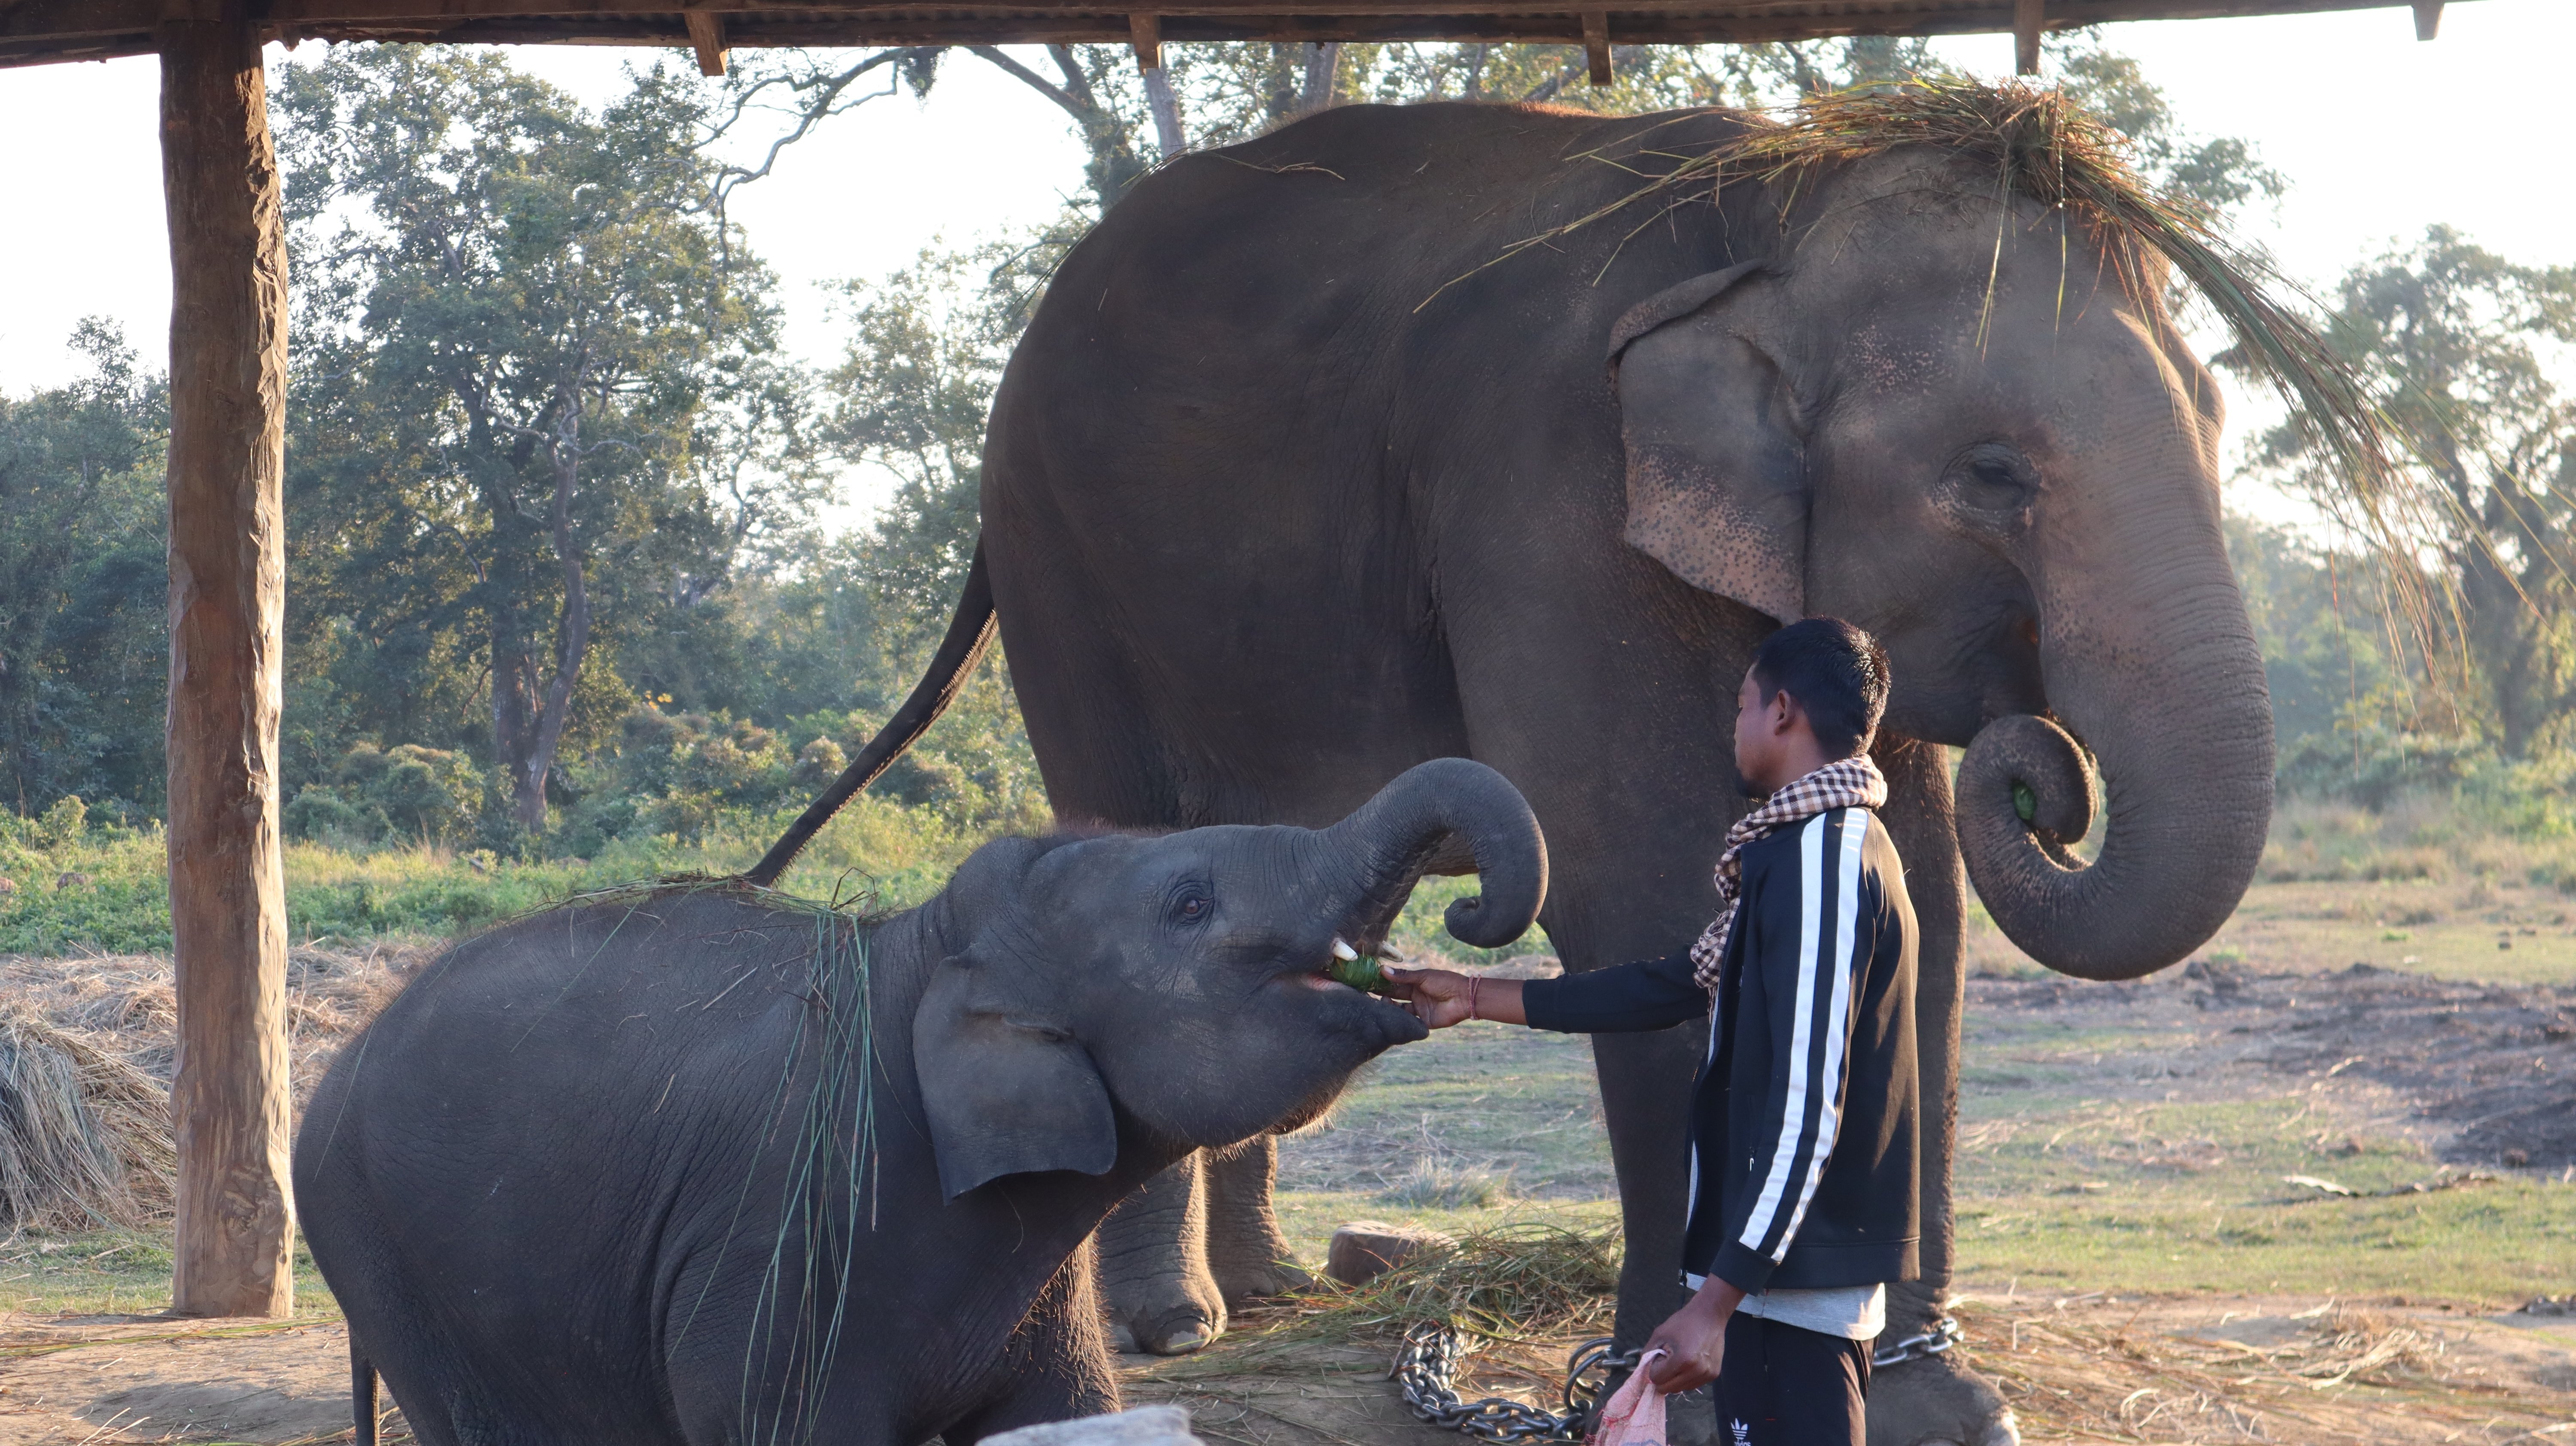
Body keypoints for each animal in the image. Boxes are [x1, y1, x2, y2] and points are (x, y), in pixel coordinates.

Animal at [301, 758, 1546, 1443]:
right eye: (1189, 904)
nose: (1466, 921)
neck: (918, 952)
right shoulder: (784, 1244)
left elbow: (1069, 1418)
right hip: (383, 1260)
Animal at [752, 84, 2298, 1443]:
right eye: (1993, 473)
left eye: (2224, 425)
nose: (2041, 772)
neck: (1780, 208)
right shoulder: (1548, 495)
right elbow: (1643, 877)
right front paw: (1678, 1389)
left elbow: (1906, 896)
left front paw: (1933, 1403)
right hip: (1066, 564)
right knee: (1129, 840)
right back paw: (1175, 1326)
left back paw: (1271, 1290)